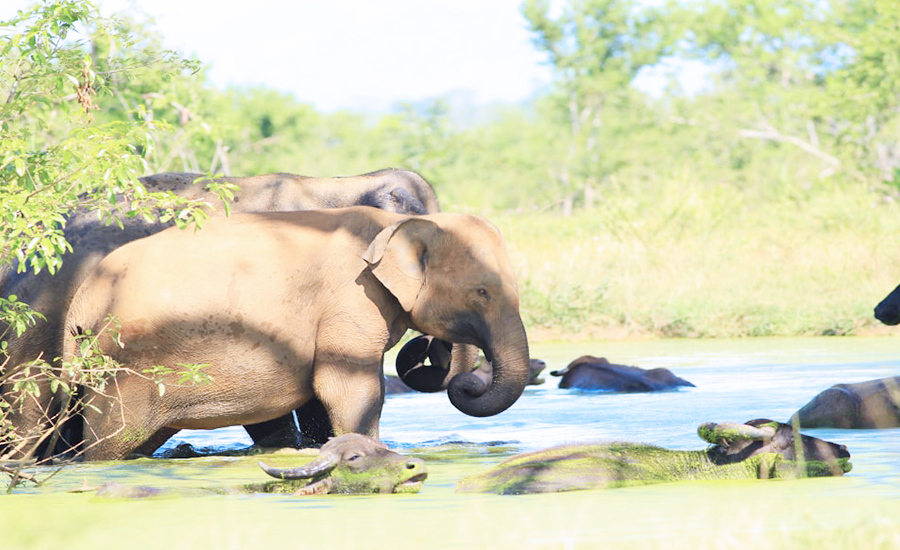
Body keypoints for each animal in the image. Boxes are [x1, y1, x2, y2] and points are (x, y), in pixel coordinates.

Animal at [62, 206, 530, 461]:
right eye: (482, 291)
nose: (465, 381)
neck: (401, 222)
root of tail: (80, 303)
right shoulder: (350, 298)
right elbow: (347, 386)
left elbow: (317, 395)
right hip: (124, 367)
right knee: (112, 440)